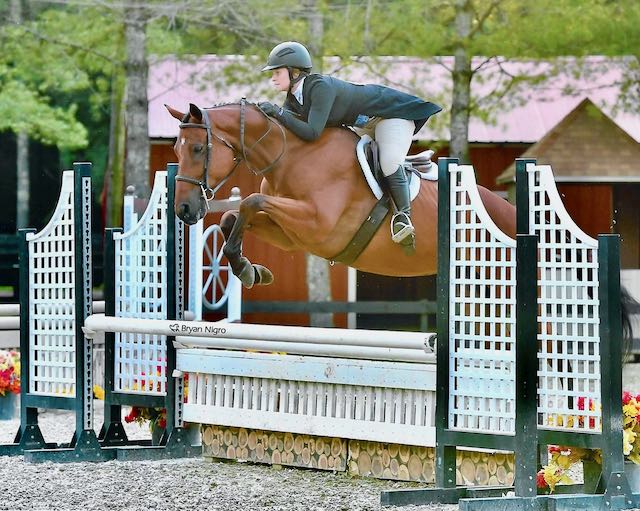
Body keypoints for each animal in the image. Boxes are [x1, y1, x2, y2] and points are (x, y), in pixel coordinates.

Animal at [166, 100, 520, 290]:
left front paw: (243, 267)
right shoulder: (291, 236)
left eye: (197, 149)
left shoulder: (318, 227)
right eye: (176, 151)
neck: (290, 156)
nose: (184, 210)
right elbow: (233, 214)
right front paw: (250, 269)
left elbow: (251, 201)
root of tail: (508, 211)